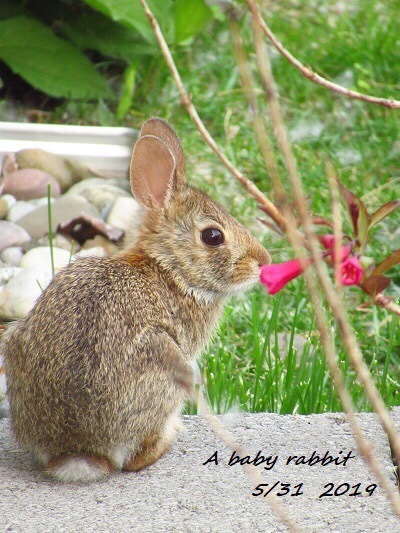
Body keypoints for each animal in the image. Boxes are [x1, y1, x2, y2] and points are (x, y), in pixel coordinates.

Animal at [2, 117, 268, 482]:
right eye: (213, 236)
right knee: (134, 460)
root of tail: (77, 451)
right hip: (172, 369)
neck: (170, 269)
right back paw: (170, 437)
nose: (263, 261)